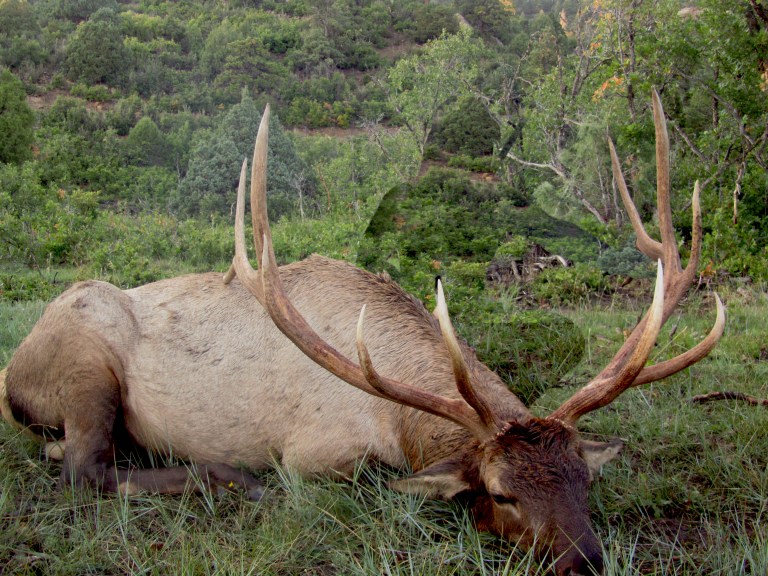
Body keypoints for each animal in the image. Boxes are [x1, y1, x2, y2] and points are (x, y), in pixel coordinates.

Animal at [1, 91, 724, 576]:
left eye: (583, 482)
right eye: (501, 494)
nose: (585, 561)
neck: (395, 417)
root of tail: (10, 377)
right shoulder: (314, 453)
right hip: (86, 359)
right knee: (83, 469)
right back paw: (226, 478)